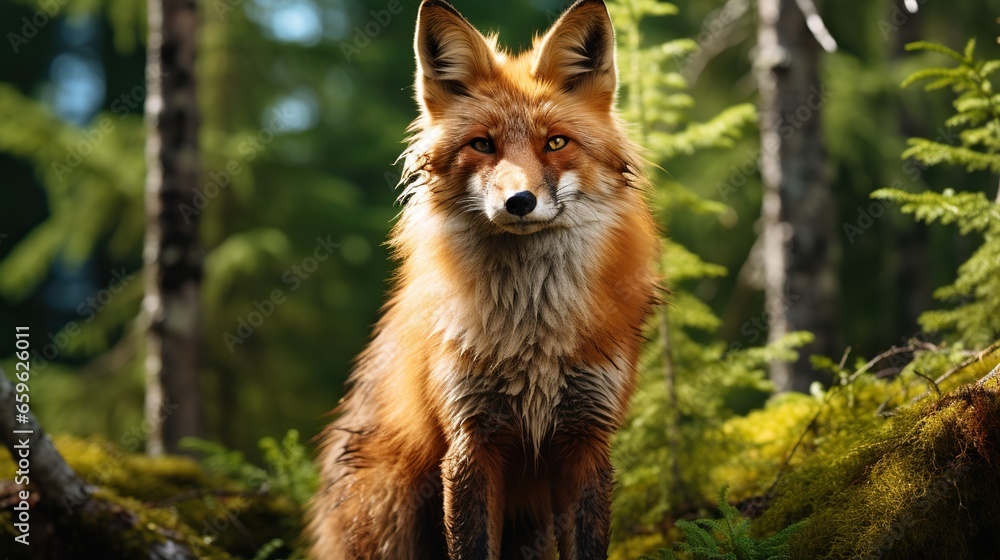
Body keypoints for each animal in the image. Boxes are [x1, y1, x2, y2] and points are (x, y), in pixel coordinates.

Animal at [308, 1, 659, 558]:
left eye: (555, 142)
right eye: (483, 145)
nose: (519, 202)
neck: (532, 335)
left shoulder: (586, 437)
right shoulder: (471, 440)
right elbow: (471, 545)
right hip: (391, 511)